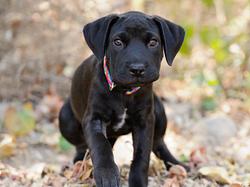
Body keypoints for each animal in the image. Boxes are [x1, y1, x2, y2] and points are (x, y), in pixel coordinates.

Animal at [59, 11, 187, 187]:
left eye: (153, 42)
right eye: (117, 42)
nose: (137, 69)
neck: (123, 92)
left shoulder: (145, 121)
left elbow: (142, 156)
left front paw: (138, 182)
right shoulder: (93, 118)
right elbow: (100, 145)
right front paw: (107, 174)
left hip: (159, 110)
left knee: (158, 143)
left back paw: (177, 165)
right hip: (65, 117)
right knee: (82, 146)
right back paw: (79, 165)